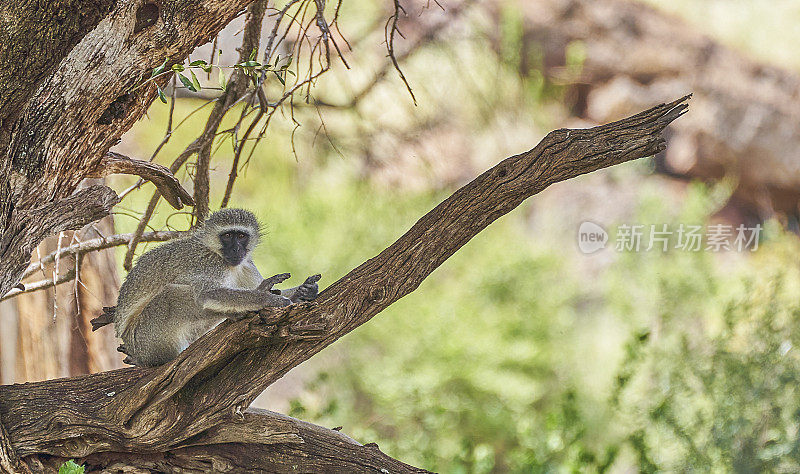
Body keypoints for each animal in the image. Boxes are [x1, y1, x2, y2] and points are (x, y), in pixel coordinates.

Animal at [108, 209, 320, 368]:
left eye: (241, 236)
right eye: (227, 236)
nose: (236, 249)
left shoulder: (246, 264)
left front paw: (302, 291)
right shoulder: (210, 264)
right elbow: (206, 294)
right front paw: (265, 297)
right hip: (144, 339)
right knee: (172, 295)